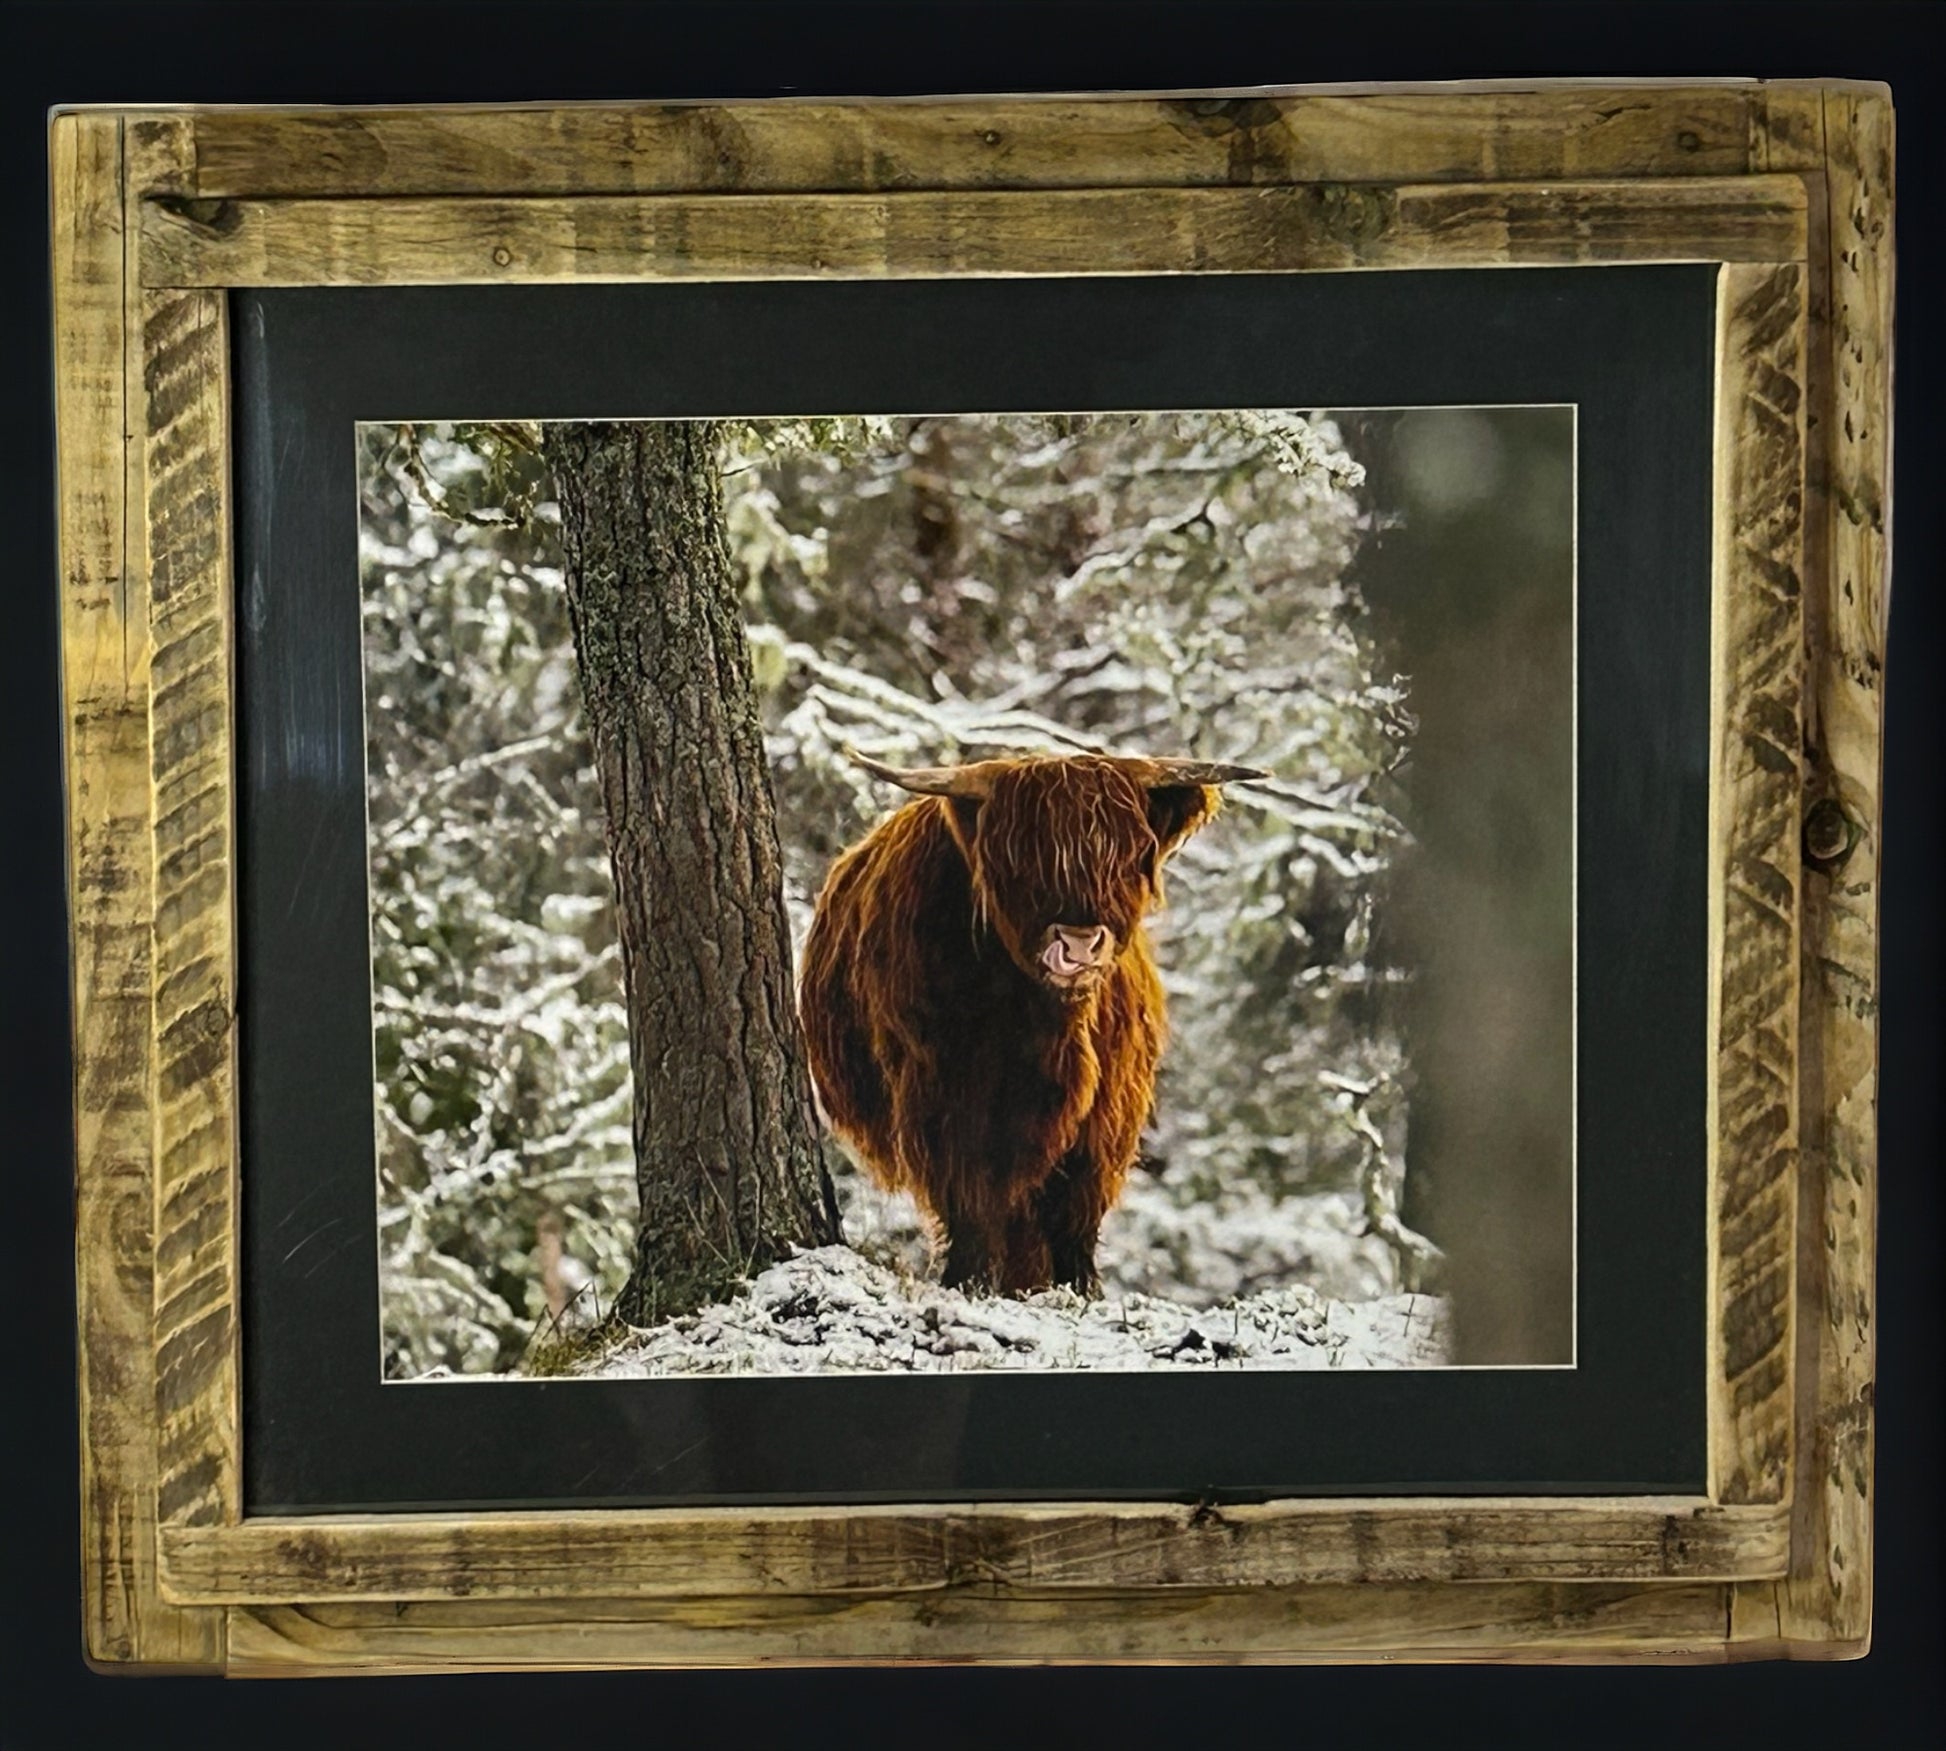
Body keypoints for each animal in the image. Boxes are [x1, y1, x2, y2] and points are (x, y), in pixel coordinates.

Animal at [797, 747, 1268, 1291]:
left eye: (1130, 856)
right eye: (1019, 860)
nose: (1079, 945)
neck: (1040, 1027)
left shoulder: (1106, 1112)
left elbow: (1076, 1207)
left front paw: (1081, 1287)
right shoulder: (944, 1091)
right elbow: (971, 1194)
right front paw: (970, 1279)